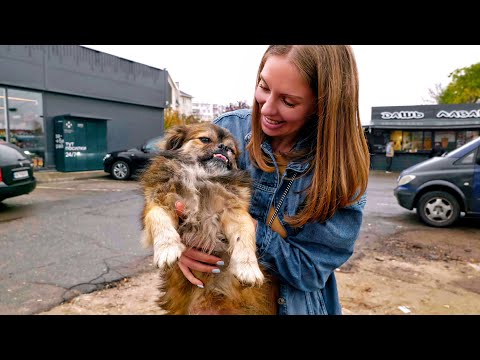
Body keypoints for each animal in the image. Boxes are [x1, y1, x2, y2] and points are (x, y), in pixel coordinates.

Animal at [139, 122, 278, 314]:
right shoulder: (160, 201)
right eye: (205, 139)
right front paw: (167, 249)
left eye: (231, 150)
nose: (223, 148)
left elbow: (245, 233)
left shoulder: (234, 212)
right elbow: (158, 220)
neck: (202, 177)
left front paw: (248, 268)